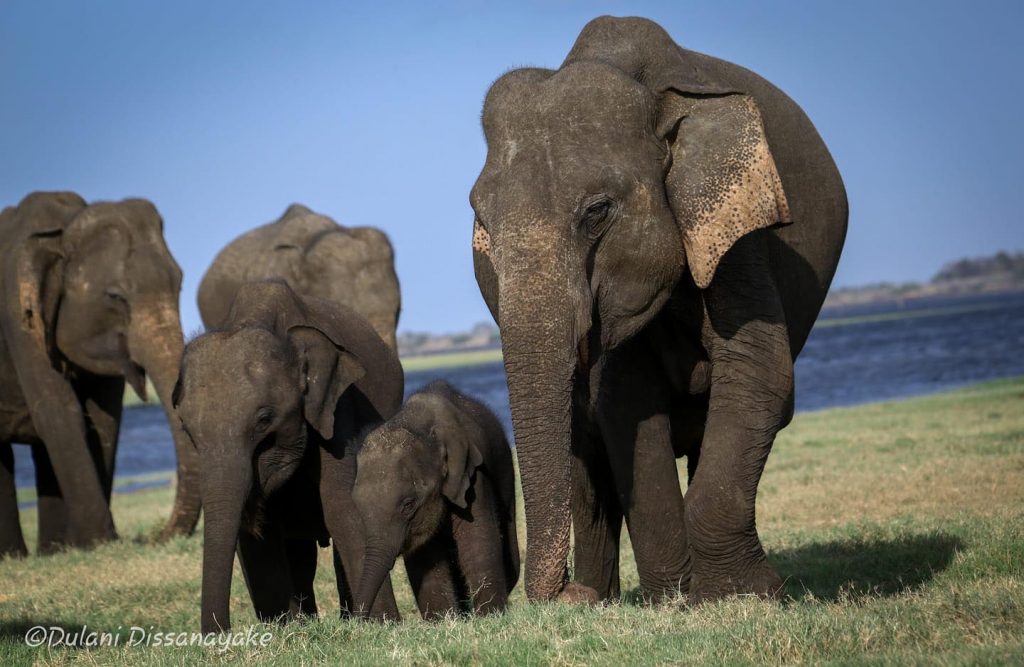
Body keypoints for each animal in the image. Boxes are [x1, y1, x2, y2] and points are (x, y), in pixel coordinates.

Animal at [0, 190, 201, 557]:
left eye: (180, 284)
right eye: (115, 296)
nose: (155, 536)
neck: (63, 228)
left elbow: (105, 419)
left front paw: (85, 545)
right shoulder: (17, 316)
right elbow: (57, 413)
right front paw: (98, 542)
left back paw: (49, 551)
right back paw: (18, 555)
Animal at [172, 278, 403, 635]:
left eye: (265, 419)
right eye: (186, 427)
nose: (218, 633)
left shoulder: (336, 408)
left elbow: (342, 508)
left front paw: (383, 624)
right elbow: (257, 532)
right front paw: (283, 629)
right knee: (299, 553)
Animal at [356, 381, 524, 622]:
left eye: (408, 504)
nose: (357, 620)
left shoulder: (474, 477)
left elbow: (477, 543)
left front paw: (490, 616)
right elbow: (426, 558)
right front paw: (442, 621)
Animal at [468, 16, 847, 606]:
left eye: (597, 212)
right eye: (481, 221)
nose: (567, 594)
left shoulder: (737, 236)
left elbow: (758, 369)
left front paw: (740, 593)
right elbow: (625, 402)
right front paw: (673, 595)